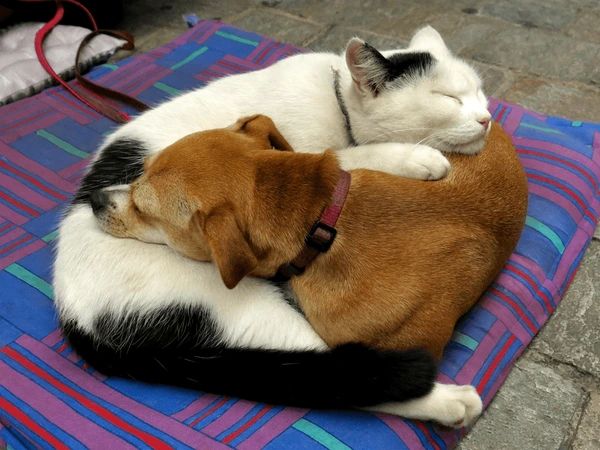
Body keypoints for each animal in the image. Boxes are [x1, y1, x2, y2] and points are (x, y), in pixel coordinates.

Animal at [54, 26, 490, 428]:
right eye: (448, 99)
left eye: (481, 94)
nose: (487, 119)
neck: (338, 101)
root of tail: (73, 317)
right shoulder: (295, 158)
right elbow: (343, 157)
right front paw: (415, 158)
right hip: (244, 306)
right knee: (334, 380)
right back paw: (448, 402)